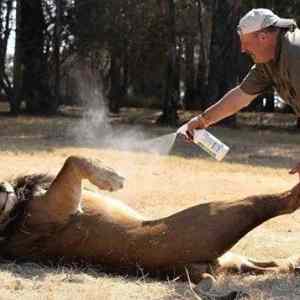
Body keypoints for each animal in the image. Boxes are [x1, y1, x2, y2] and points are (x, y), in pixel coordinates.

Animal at [0, 156, 298, 284]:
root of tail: (188, 270)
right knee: (282, 202)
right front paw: (110, 177)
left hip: (234, 259)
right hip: (220, 213)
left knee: (270, 265)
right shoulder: (64, 199)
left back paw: (292, 264)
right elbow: (73, 159)